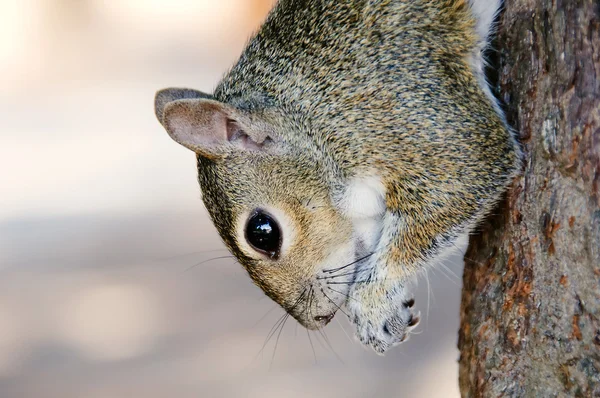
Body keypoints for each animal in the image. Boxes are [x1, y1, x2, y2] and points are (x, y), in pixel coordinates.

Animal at [154, 0, 520, 354]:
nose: (316, 320)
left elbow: (459, 182)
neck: (315, 117)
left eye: (262, 233)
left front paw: (374, 304)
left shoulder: (410, 116)